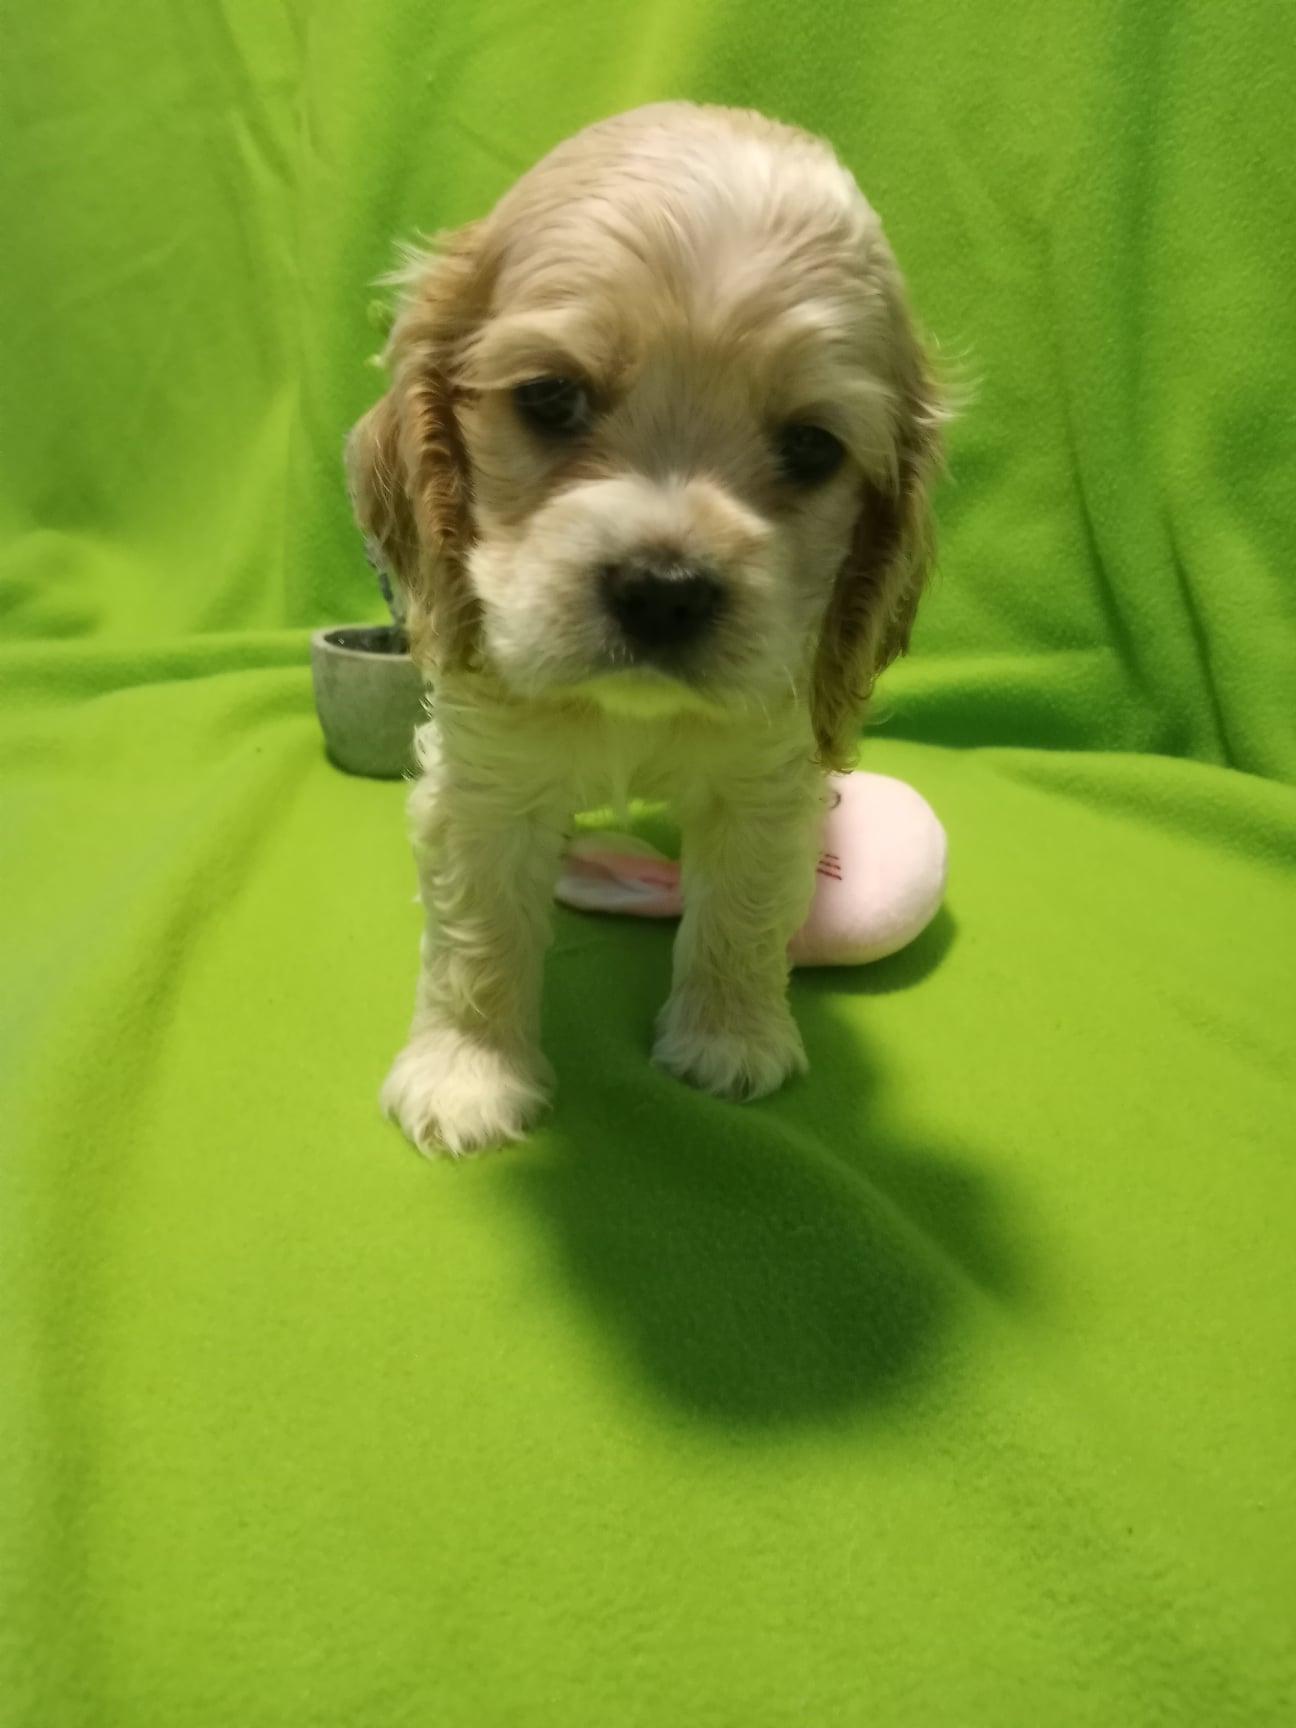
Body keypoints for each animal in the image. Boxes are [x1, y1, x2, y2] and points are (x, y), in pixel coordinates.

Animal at [346, 102, 945, 1155]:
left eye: (810, 447)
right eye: (551, 397)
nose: (664, 591)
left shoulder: (769, 779)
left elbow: (742, 914)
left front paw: (730, 1037)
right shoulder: (482, 780)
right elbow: (476, 937)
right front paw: (467, 1074)